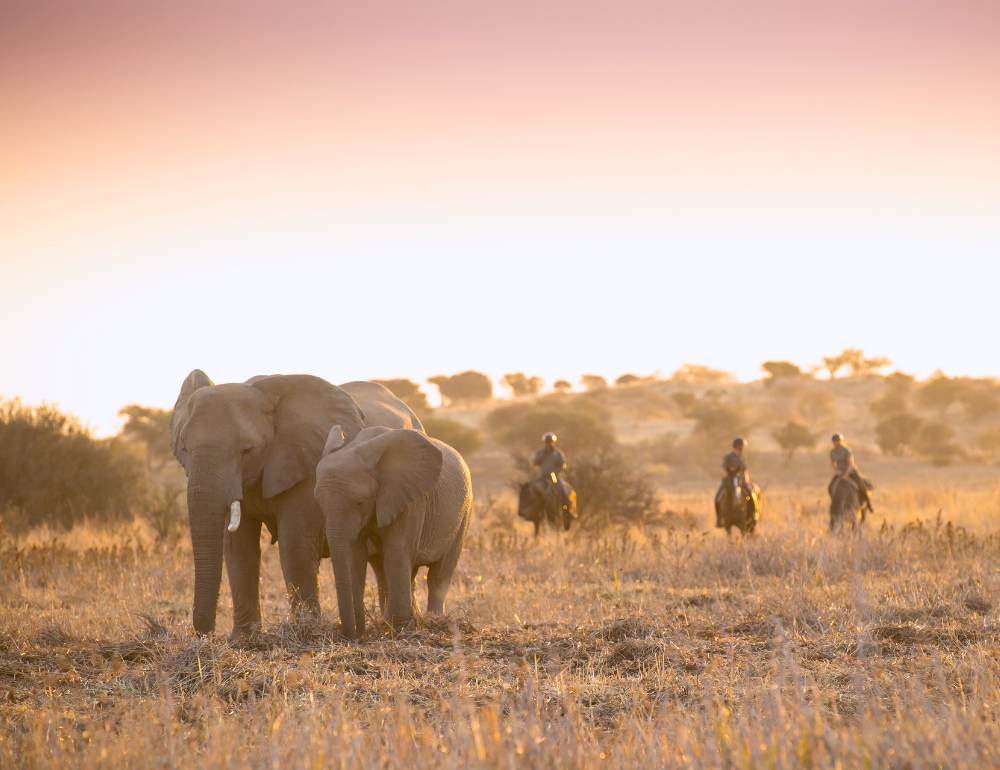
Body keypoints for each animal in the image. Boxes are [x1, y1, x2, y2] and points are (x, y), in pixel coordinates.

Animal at [170, 368, 420, 636]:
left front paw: (307, 633)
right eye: (184, 449)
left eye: (247, 451)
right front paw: (243, 640)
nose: (207, 635)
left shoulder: (307, 465)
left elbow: (294, 545)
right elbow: (239, 547)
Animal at [314, 426, 470, 636]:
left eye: (359, 503)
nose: (357, 636)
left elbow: (397, 552)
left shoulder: (410, 498)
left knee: (438, 575)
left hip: (464, 513)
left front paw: (396, 628)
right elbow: (356, 557)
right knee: (387, 572)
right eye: (319, 504)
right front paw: (378, 628)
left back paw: (433, 621)